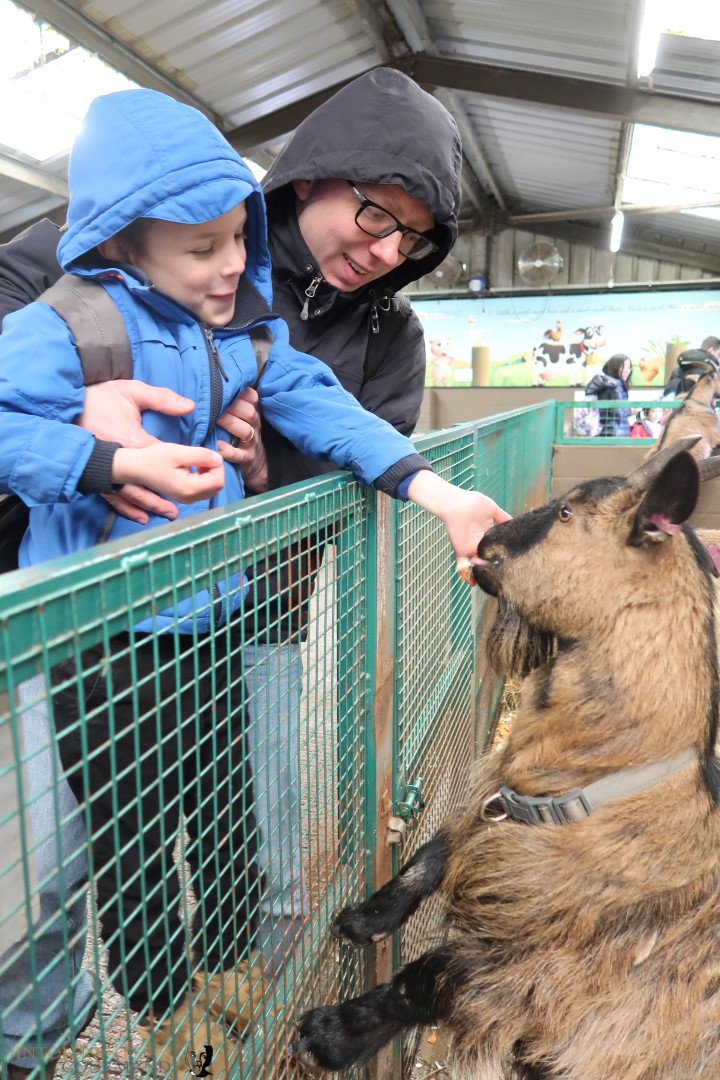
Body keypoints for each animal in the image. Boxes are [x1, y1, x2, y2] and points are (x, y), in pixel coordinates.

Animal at [295, 436, 720, 1080]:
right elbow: (429, 855)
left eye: (567, 512)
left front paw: (331, 1035)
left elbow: (421, 983)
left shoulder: (525, 970)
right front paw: (364, 920)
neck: (609, 783)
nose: (485, 539)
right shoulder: (490, 814)